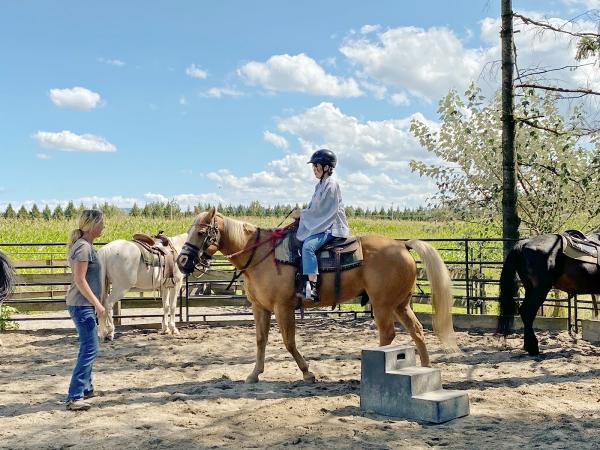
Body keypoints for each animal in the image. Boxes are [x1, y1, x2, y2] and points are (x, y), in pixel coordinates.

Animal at [176, 207, 458, 384]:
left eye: (201, 232)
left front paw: (307, 373)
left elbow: (289, 342)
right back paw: (425, 369)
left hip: (383, 304)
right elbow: (260, 341)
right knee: (417, 330)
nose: (182, 261)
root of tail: (402, 245)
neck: (261, 255)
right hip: (400, 304)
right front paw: (254, 374)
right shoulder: (260, 308)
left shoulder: (283, 307)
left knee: (387, 334)